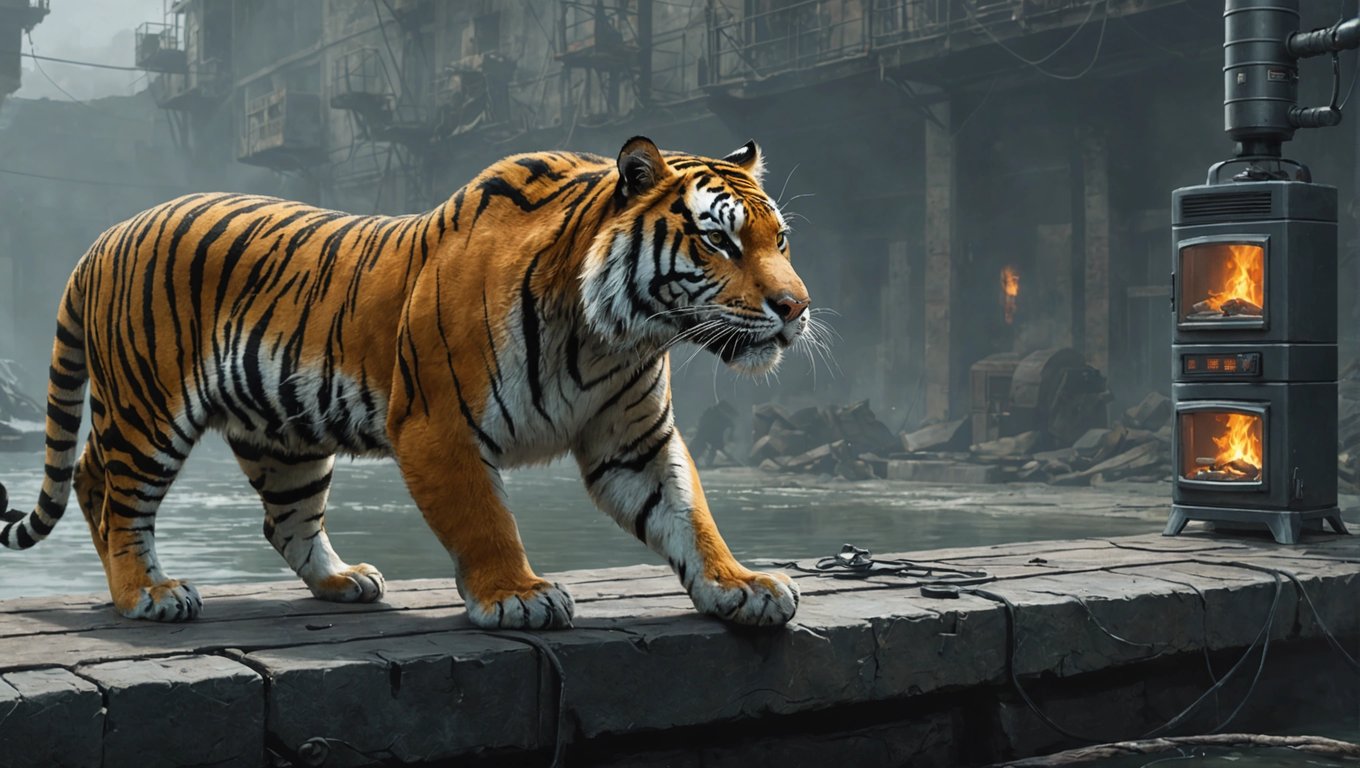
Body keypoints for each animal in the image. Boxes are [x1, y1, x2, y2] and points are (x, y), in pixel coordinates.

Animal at [0, 136, 811, 629]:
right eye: (719, 240)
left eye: (780, 239)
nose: (796, 307)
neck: (609, 334)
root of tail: (106, 236)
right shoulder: (437, 428)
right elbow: (485, 521)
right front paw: (518, 596)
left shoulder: (634, 440)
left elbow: (689, 514)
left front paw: (741, 584)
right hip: (150, 407)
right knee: (107, 487)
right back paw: (146, 591)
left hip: (283, 436)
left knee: (280, 519)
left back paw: (339, 581)